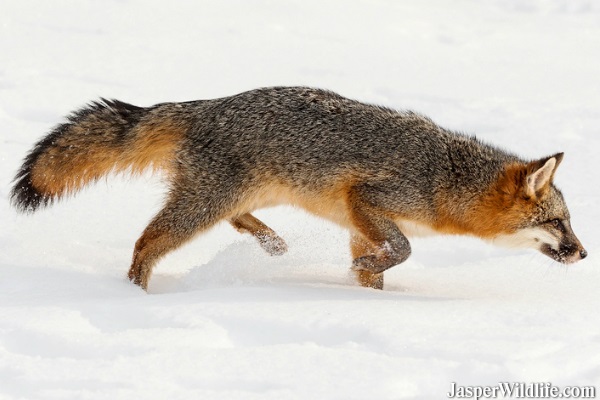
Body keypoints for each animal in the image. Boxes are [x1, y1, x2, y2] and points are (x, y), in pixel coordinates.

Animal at [9, 86, 588, 290]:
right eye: (557, 223)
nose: (584, 253)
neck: (447, 178)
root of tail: (205, 104)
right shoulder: (370, 200)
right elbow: (402, 249)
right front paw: (369, 271)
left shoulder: (360, 220)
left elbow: (378, 267)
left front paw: (368, 292)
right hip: (201, 207)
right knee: (145, 244)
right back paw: (133, 299)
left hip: (242, 196)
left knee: (235, 220)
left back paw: (271, 242)